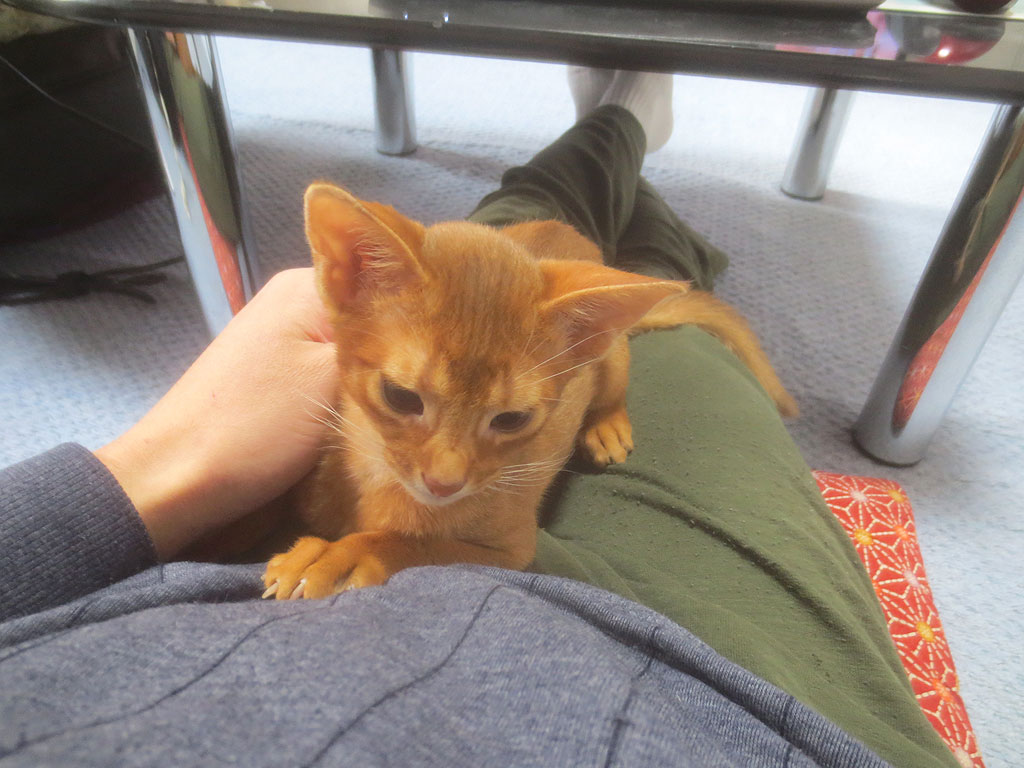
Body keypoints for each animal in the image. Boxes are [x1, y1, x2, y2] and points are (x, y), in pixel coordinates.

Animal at [261, 182, 797, 600]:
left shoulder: (511, 550)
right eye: (400, 397)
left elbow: (413, 544)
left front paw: (343, 556)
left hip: (613, 357)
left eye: (512, 420)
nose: (444, 483)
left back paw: (606, 424)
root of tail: (567, 230)